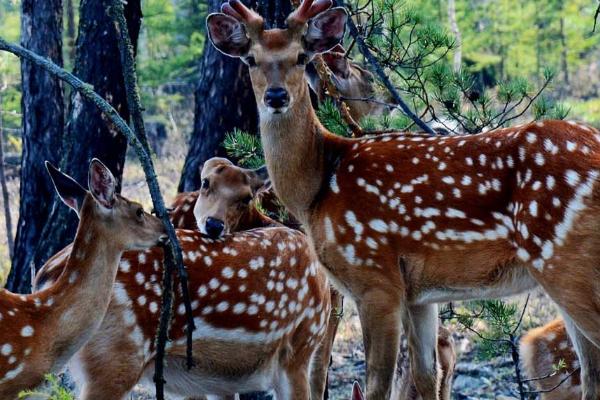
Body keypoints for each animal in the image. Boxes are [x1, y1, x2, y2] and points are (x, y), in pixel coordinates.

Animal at [205, 1, 600, 398]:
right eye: (251, 59)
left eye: (302, 56)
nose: (275, 96)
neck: (316, 187)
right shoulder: (419, 295)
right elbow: (426, 376)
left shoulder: (375, 277)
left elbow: (377, 382)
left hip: (564, 259)